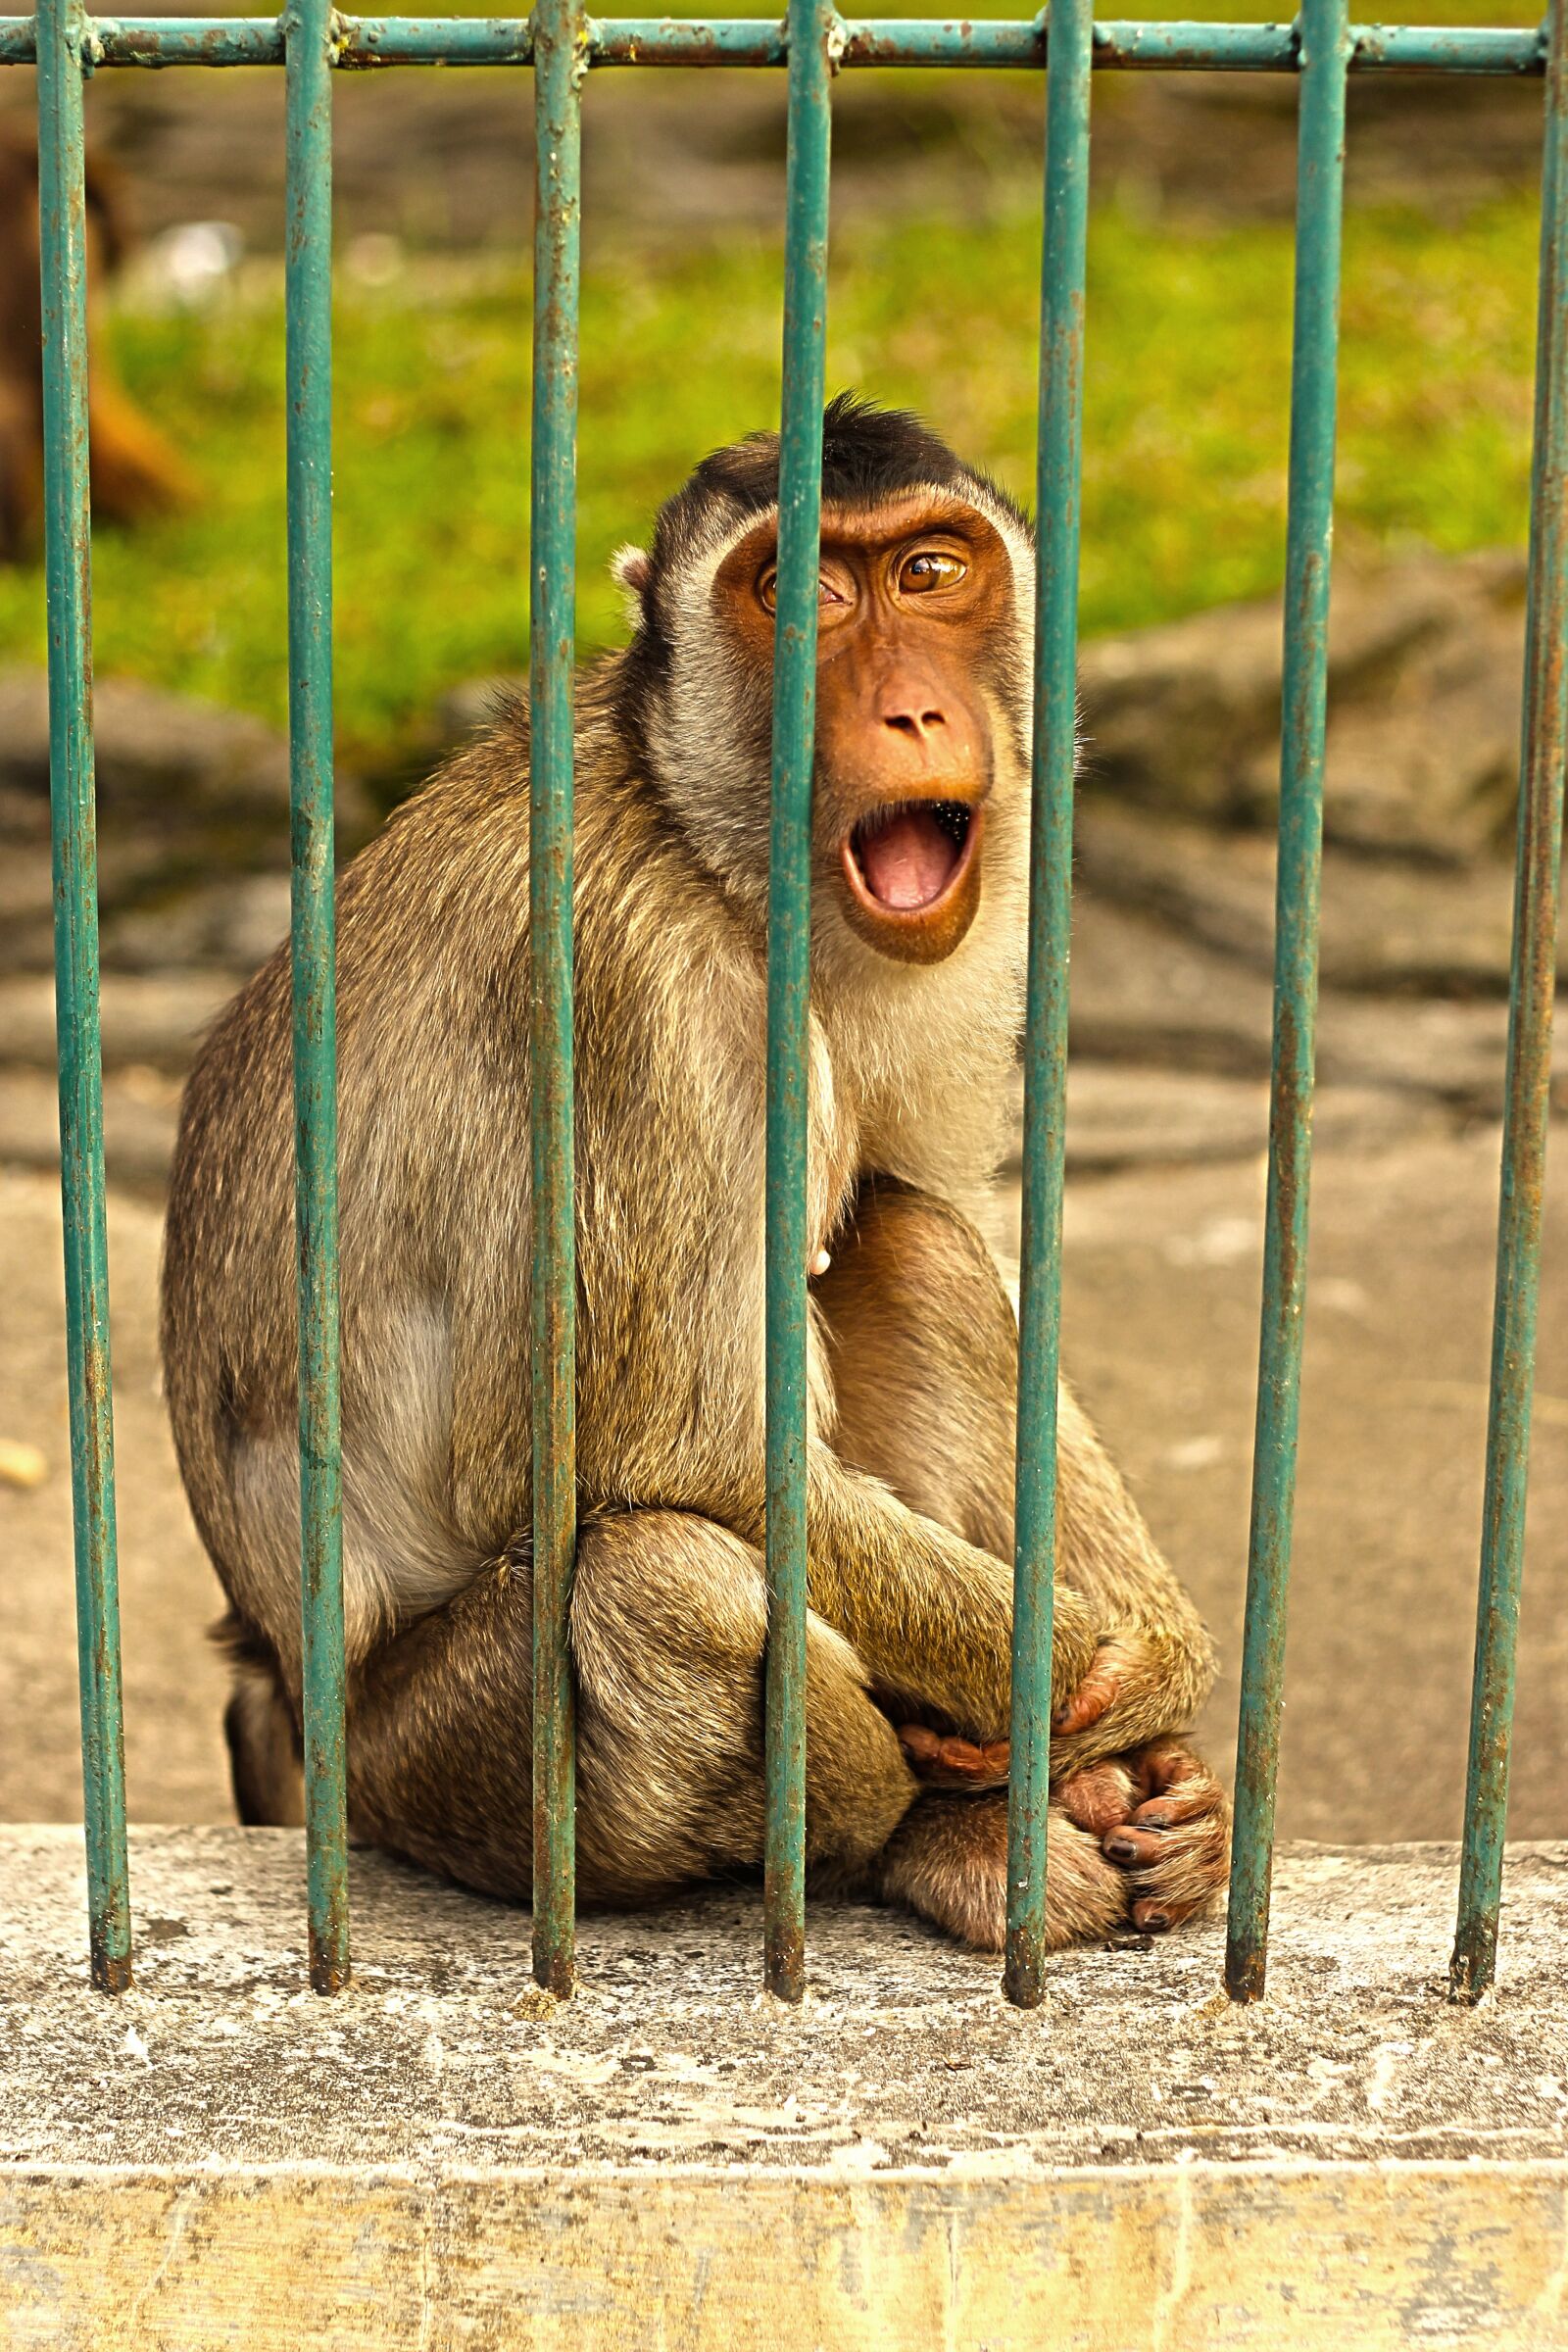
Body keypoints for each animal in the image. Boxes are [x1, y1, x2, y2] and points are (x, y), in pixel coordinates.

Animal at [160, 396, 1228, 1954]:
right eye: (798, 593)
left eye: (926, 573)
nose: (911, 712)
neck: (704, 834)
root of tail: (281, 1693)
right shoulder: (640, 993)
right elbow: (677, 1458)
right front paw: (1076, 1675)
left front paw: (1153, 1659)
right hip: (431, 1774)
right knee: (665, 1580)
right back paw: (933, 1835)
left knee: (909, 1243)